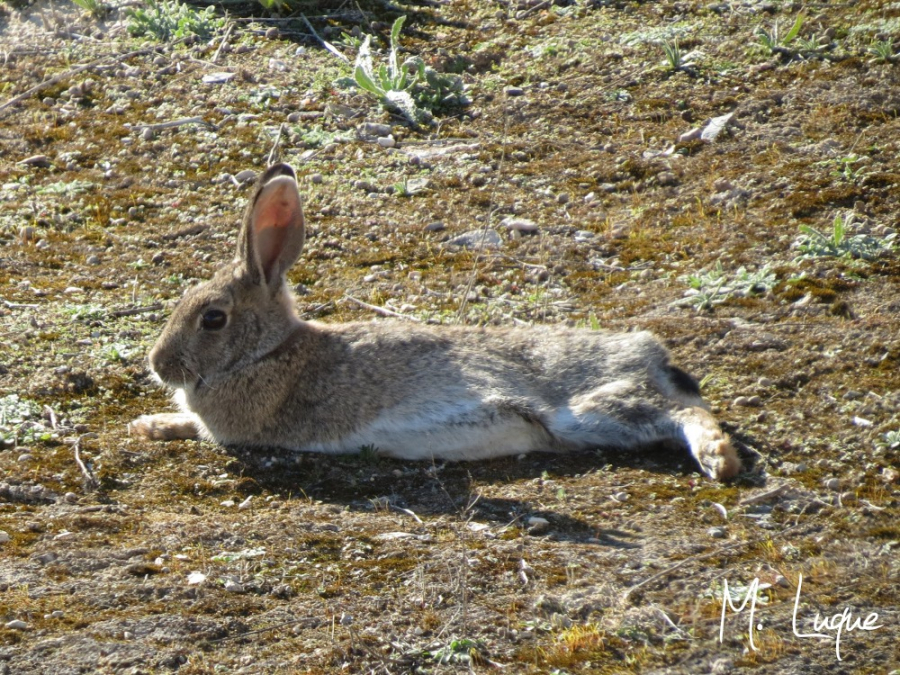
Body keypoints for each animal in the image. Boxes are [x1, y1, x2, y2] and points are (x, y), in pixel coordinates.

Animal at [130, 163, 741, 481]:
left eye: (213, 319)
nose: (158, 365)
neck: (270, 352)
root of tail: (650, 354)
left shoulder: (239, 425)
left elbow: (203, 429)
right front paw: (149, 424)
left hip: (596, 406)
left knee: (683, 413)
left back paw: (719, 457)